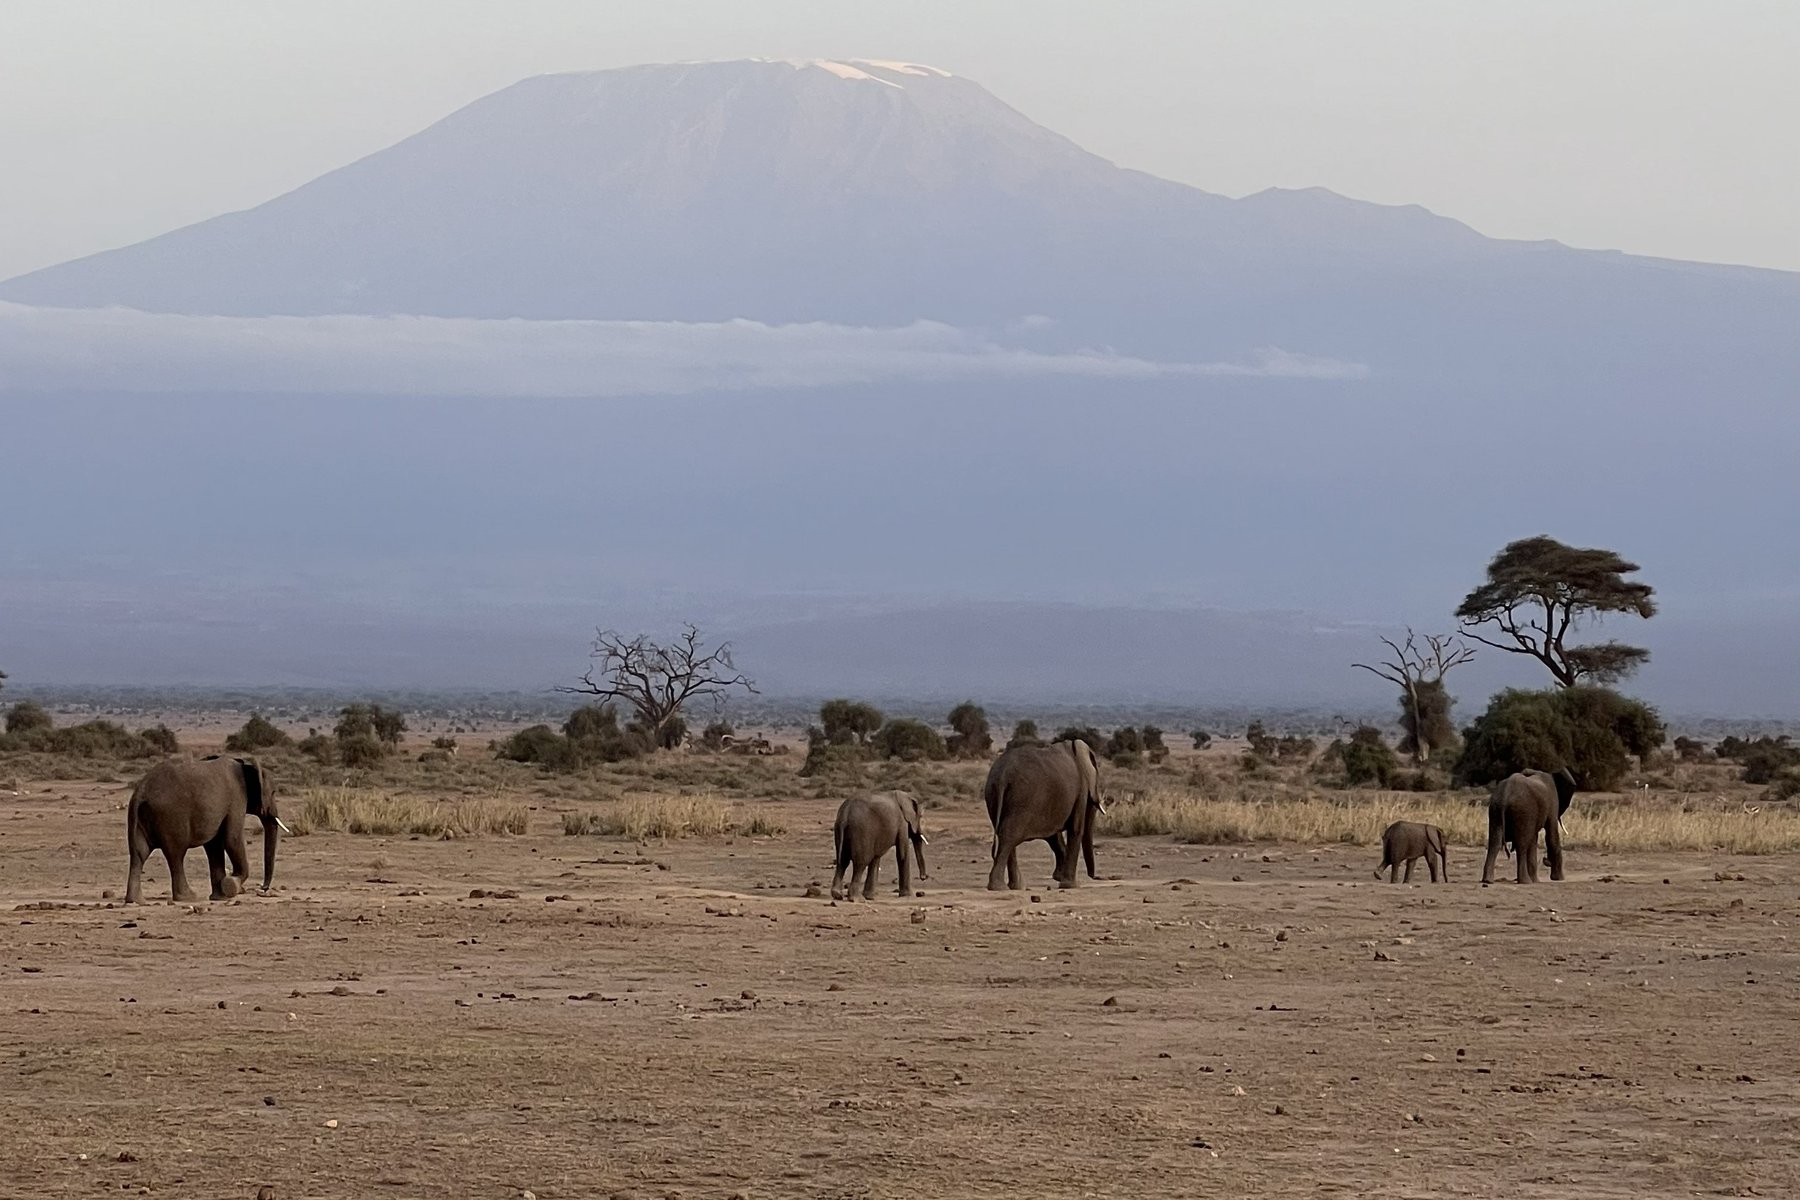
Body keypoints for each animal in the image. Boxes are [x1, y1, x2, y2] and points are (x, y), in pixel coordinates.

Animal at [125, 756, 288, 903]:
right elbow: (232, 839)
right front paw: (231, 885)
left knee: (139, 854)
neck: (246, 766)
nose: (263, 888)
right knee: (176, 855)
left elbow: (214, 846)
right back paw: (189, 897)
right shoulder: (236, 799)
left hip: (137, 817)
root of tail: (141, 792)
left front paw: (220, 897)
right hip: (171, 817)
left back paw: (135, 901)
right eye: (273, 792)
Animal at [984, 739, 1102, 891]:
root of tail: (1003, 775)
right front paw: (1071, 885)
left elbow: (1053, 836)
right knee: (1009, 835)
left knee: (1005, 835)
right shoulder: (1081, 790)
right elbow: (1076, 829)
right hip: (1023, 797)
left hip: (993, 793)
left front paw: (1059, 877)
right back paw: (999, 887)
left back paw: (1016, 887)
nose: (1095, 877)